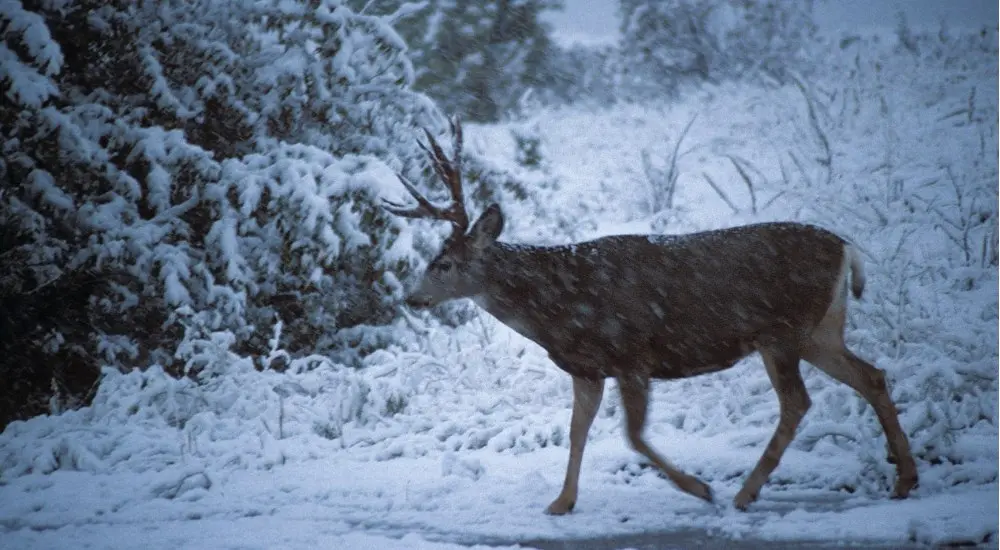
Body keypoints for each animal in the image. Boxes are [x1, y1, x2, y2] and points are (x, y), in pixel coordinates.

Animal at [382, 118, 918, 514]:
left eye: (443, 263)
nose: (412, 299)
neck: (558, 307)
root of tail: (847, 247)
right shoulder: (588, 368)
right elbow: (578, 431)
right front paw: (561, 502)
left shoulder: (632, 354)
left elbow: (633, 436)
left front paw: (699, 488)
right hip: (819, 331)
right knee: (870, 376)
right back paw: (904, 480)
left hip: (782, 333)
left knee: (797, 402)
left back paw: (745, 492)